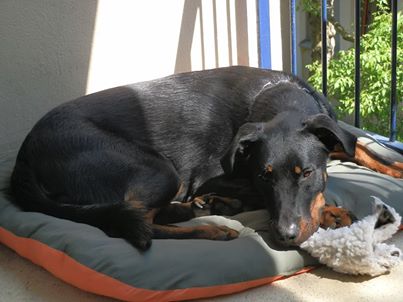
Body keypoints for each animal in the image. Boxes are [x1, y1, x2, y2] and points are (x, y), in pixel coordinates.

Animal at [9, 66, 394, 250]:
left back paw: (199, 208)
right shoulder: (210, 174)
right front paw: (330, 211)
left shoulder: (332, 131)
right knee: (135, 220)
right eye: (264, 176)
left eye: (308, 173)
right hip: (160, 170)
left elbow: (360, 146)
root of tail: (24, 156)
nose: (284, 236)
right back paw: (211, 227)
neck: (275, 95)